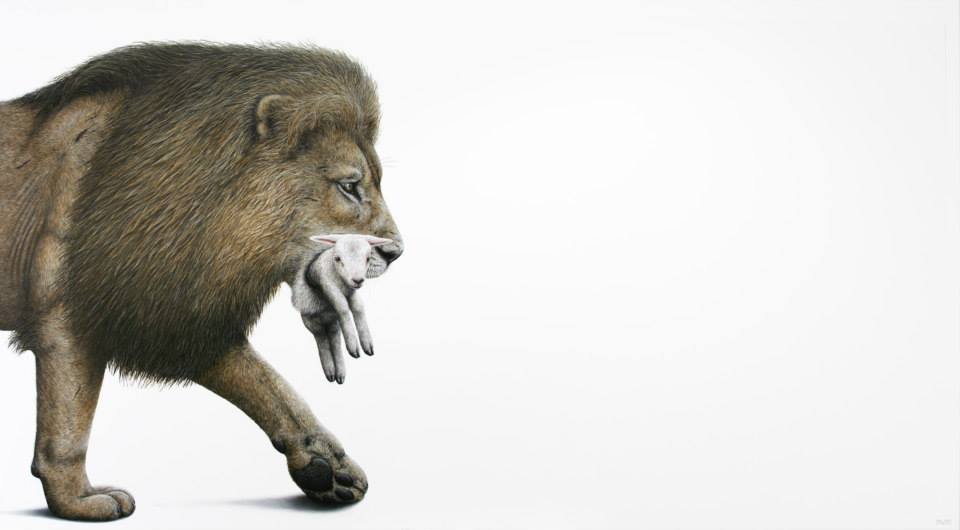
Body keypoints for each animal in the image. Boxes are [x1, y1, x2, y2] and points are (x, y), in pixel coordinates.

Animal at [291, 234, 393, 384]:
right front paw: (353, 343)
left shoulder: (351, 292)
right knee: (321, 338)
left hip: (333, 322)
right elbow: (343, 307)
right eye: (337, 258)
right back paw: (330, 371)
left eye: (368, 258)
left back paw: (339, 373)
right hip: (312, 322)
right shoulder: (328, 286)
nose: (358, 280)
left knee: (334, 338)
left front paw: (366, 344)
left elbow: (358, 307)